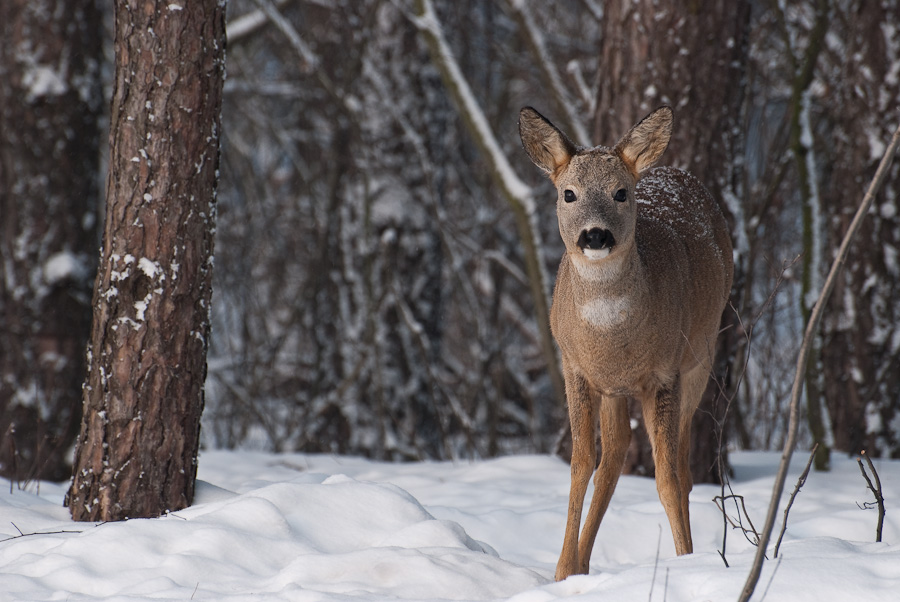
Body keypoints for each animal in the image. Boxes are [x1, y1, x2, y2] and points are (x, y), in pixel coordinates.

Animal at [520, 105, 732, 580]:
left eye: (620, 193)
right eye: (568, 194)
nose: (595, 235)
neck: (612, 339)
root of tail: (671, 170)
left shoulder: (666, 374)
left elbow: (667, 477)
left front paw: (685, 560)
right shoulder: (576, 369)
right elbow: (581, 465)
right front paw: (563, 570)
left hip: (701, 357)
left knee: (682, 466)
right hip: (615, 390)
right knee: (613, 457)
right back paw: (582, 562)